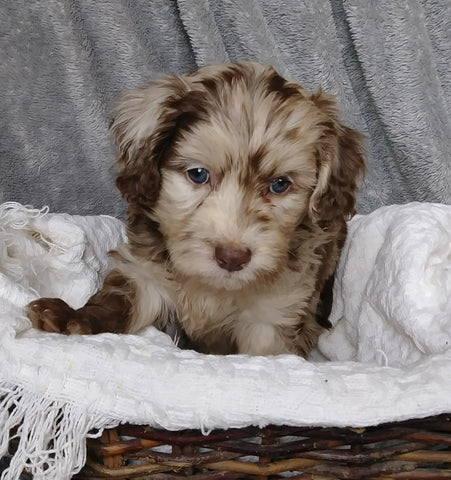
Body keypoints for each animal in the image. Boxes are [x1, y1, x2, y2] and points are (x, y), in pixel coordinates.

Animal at [27, 62, 368, 354]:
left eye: (280, 184)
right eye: (198, 174)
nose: (232, 257)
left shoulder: (275, 312)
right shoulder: (145, 273)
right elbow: (117, 302)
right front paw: (74, 318)